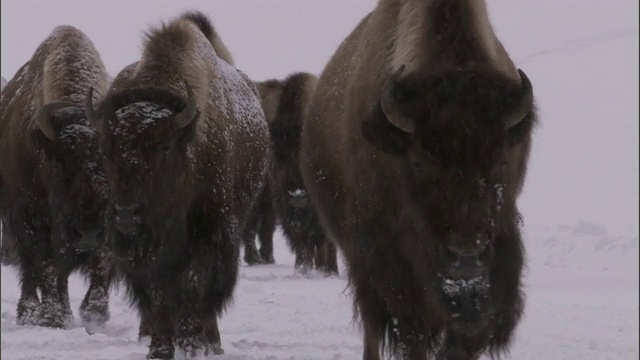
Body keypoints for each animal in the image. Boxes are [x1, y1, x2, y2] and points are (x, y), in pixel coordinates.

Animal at [0, 24, 115, 330]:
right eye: (59, 162)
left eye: (111, 160)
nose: (87, 232)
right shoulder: (33, 217)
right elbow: (46, 266)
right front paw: (51, 317)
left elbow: (102, 261)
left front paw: (95, 314)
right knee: (35, 270)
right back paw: (33, 313)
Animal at [88, 11, 272, 360]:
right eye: (105, 149)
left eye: (162, 148)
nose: (127, 214)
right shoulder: (151, 252)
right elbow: (160, 295)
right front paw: (159, 348)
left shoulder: (211, 233)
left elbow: (194, 285)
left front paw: (191, 345)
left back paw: (211, 343)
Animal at [298, 1, 536, 358]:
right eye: (419, 163)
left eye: (501, 161)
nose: (467, 257)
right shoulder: (390, 262)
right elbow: (412, 331)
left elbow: (470, 332)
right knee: (372, 325)